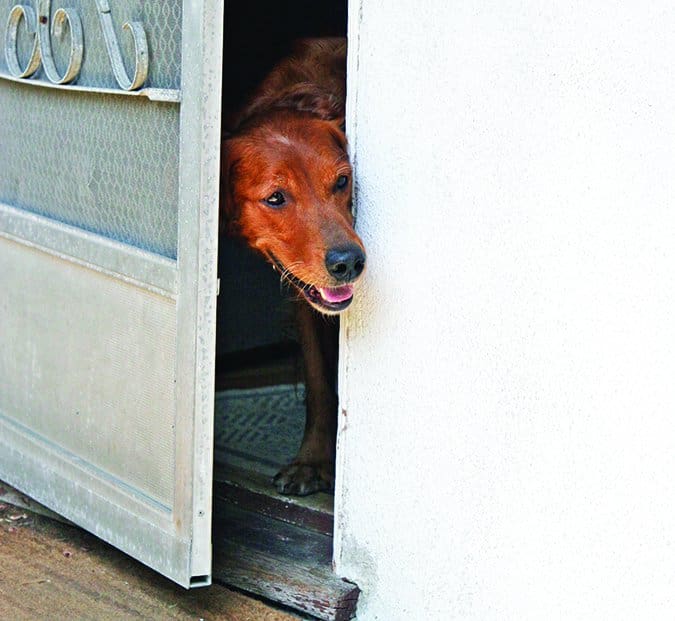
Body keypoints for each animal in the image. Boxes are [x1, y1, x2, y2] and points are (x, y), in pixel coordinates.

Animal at [222, 37, 368, 494]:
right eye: (275, 198)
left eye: (342, 181)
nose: (348, 262)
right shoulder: (305, 296)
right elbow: (320, 382)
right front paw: (314, 460)